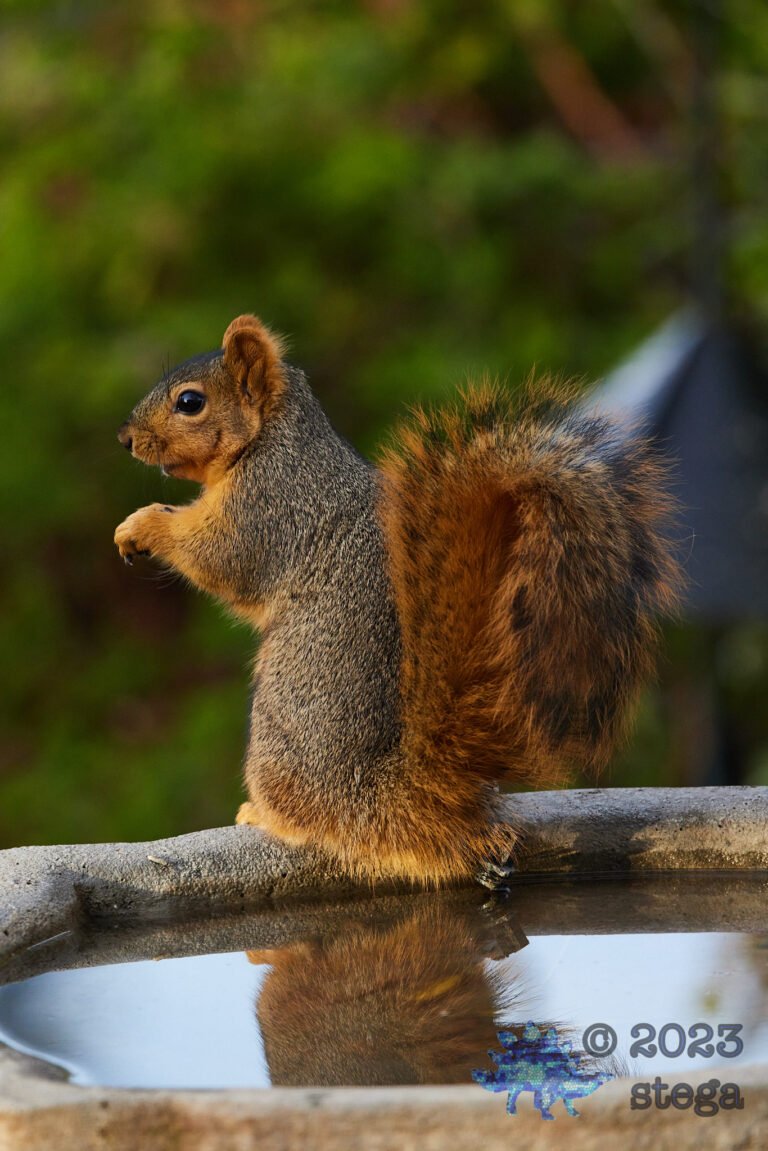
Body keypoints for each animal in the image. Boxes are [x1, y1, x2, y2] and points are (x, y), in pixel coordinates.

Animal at [115, 313, 680, 887]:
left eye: (190, 402)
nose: (126, 439)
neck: (275, 439)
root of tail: (403, 796)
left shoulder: (272, 505)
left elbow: (221, 558)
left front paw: (142, 525)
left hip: (284, 734)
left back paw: (262, 815)